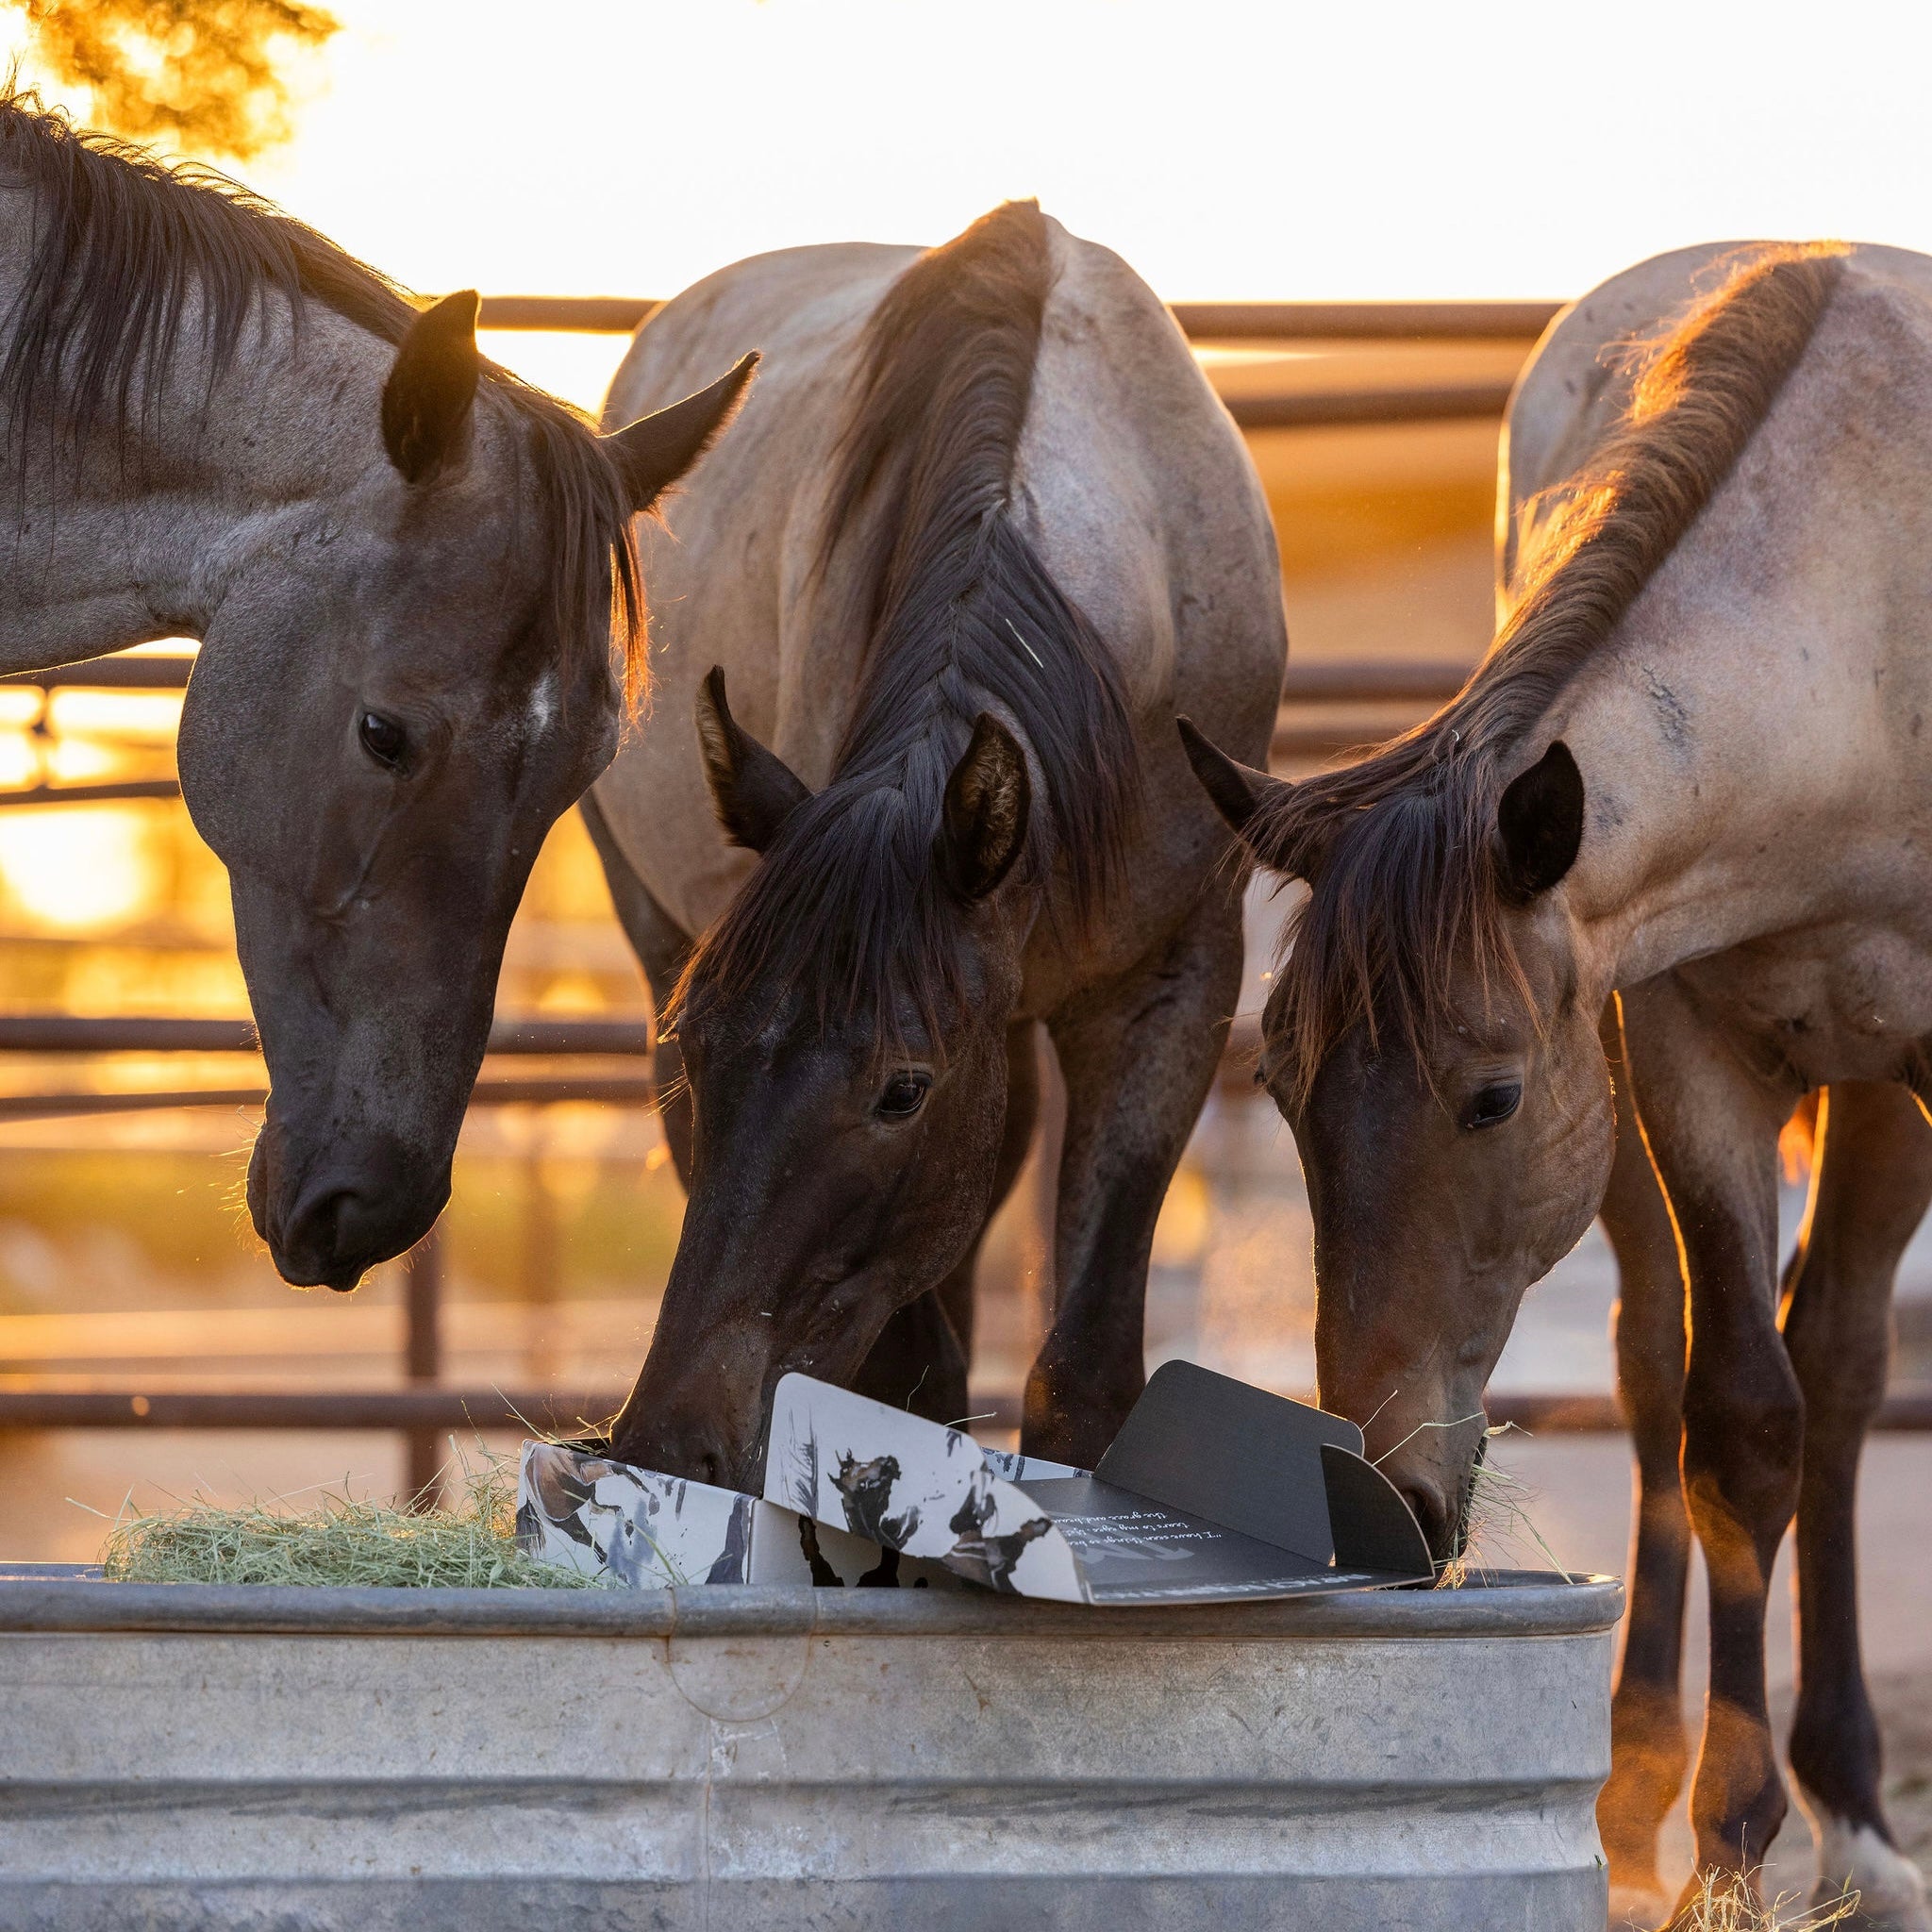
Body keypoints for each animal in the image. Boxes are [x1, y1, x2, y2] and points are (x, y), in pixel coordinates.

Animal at [579, 199, 1291, 1475]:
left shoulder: (1170, 987)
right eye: (701, 1048)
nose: (667, 1436)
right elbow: (910, 1377)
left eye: (901, 1090)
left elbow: (1081, 1376)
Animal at [1182, 242, 1932, 1916]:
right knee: (1680, 1371)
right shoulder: (1685, 1052)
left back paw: (1861, 1817)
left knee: (1851, 1361)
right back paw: (1652, 1787)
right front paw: (1727, 1838)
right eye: (1281, 1088)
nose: (1383, 1496)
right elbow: (1740, 1424)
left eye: (1493, 1098)